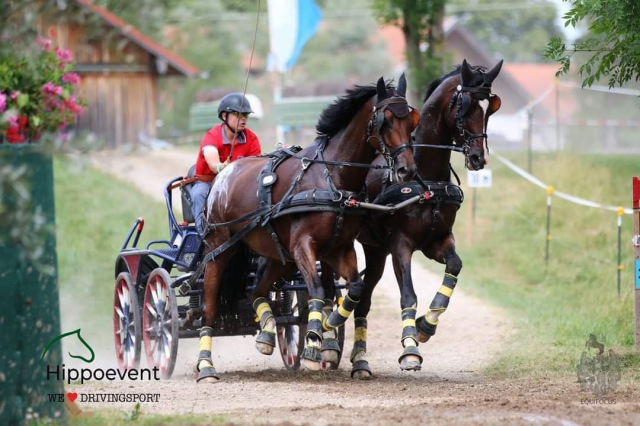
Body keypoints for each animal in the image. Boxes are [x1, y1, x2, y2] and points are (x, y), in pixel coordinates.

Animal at [195, 75, 422, 382]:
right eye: (385, 121)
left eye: (411, 120)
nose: (406, 170)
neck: (332, 177)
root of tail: (223, 175)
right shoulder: (303, 245)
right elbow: (316, 290)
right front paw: (315, 344)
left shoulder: (340, 248)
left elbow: (354, 288)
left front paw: (330, 323)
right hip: (219, 250)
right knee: (209, 305)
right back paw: (206, 365)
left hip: (278, 256)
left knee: (256, 292)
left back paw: (266, 334)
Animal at [342, 58, 502, 378]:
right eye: (466, 106)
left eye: (490, 107)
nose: (478, 158)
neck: (425, 180)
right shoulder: (400, 244)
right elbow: (408, 294)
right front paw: (410, 349)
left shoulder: (437, 240)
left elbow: (455, 265)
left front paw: (426, 325)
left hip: (376, 251)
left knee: (363, 299)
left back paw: (360, 359)